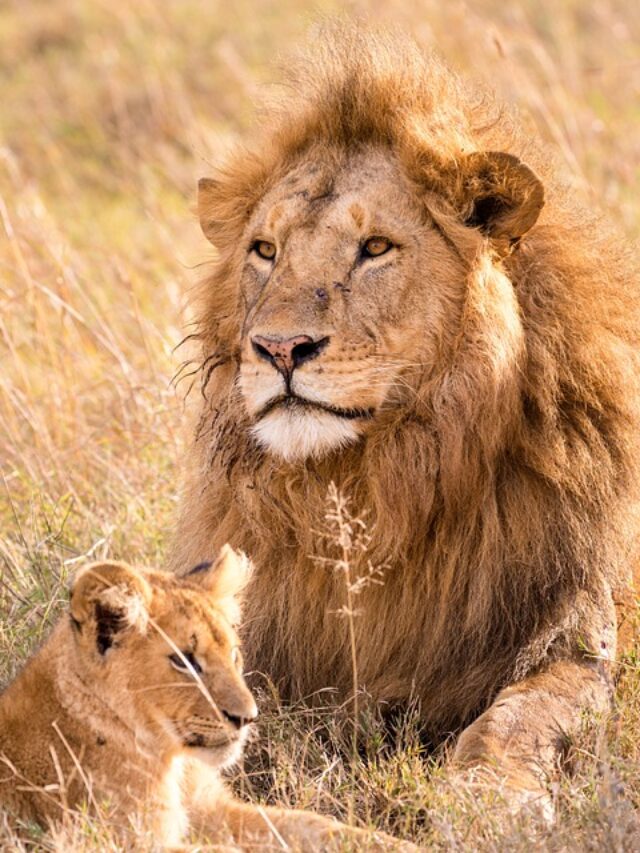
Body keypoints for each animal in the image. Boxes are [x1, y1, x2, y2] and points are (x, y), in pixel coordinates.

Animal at [0, 547, 414, 850]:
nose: (247, 717)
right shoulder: (117, 841)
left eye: (233, 653)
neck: (173, 760)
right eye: (185, 662)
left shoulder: (215, 811)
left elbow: (318, 826)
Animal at [172, 25, 640, 814]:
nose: (279, 348)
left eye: (375, 248)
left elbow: (517, 717)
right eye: (265, 250)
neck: (373, 486)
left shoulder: (578, 636)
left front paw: (487, 797)